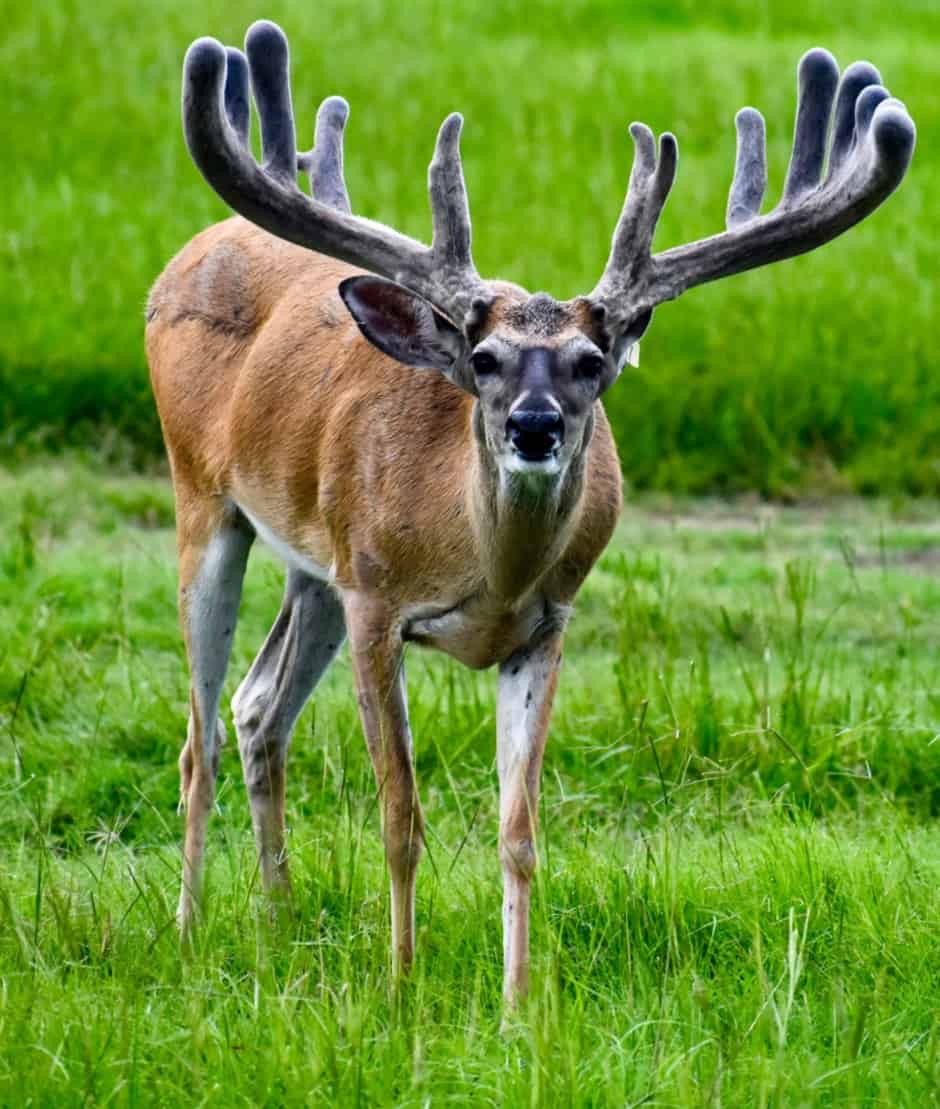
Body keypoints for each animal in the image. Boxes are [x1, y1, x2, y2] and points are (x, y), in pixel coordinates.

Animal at [145, 19, 914, 1002]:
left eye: (591, 360)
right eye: (484, 359)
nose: (535, 425)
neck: (485, 566)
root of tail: (187, 252)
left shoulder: (544, 625)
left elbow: (519, 829)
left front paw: (517, 1004)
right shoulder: (378, 604)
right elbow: (400, 814)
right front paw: (402, 986)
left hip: (317, 567)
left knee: (257, 709)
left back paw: (277, 921)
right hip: (205, 496)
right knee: (199, 737)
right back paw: (188, 930)